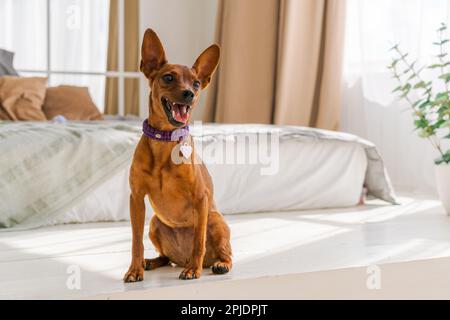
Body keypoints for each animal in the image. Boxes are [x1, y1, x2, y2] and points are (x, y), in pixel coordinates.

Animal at [125, 28, 234, 282]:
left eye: (196, 83)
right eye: (168, 78)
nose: (189, 94)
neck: (165, 142)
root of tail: (180, 258)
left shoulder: (201, 198)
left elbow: (198, 241)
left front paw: (193, 270)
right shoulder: (136, 199)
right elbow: (136, 242)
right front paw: (134, 268)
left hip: (216, 221)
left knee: (226, 254)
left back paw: (216, 264)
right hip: (155, 223)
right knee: (164, 257)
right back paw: (150, 262)